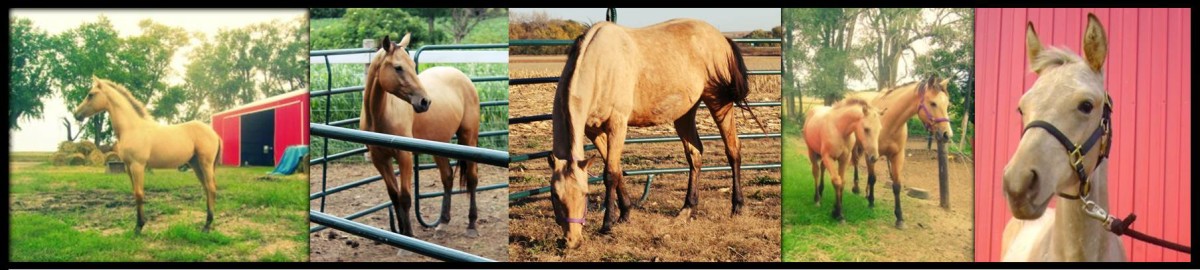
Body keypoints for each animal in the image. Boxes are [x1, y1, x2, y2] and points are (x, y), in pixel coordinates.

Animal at [70, 75, 222, 234]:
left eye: (90, 94)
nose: (77, 114)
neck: (132, 128)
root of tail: (214, 133)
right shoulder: (128, 167)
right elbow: (135, 193)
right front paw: (139, 223)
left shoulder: (138, 166)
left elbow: (139, 194)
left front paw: (139, 227)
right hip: (196, 164)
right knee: (207, 188)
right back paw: (207, 222)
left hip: (205, 164)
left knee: (211, 188)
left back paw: (207, 225)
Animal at [360, 33, 482, 238]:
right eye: (398, 67)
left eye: (412, 65)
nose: (425, 102)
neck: (381, 115)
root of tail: (462, 76)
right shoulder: (380, 159)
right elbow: (394, 196)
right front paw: (401, 233)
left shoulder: (404, 156)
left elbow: (405, 197)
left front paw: (408, 236)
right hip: (439, 144)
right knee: (447, 177)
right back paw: (443, 222)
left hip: (469, 139)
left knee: (472, 178)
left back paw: (472, 224)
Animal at [844, 75, 955, 228]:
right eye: (933, 103)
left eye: (947, 105)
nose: (947, 135)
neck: (889, 121)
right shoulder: (871, 154)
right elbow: (873, 178)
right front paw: (871, 202)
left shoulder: (897, 156)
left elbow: (896, 185)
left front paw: (899, 218)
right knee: (855, 162)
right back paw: (857, 188)